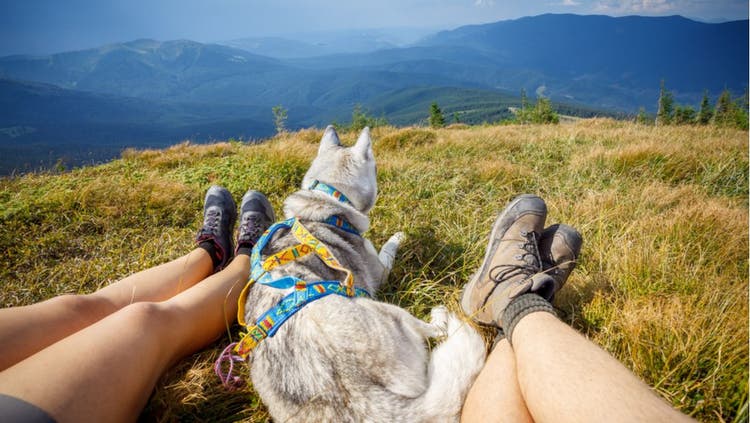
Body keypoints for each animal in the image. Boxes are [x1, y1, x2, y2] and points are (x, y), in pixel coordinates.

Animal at [242, 126, 488, 423]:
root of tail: (353, 395)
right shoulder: (380, 271)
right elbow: (388, 249)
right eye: (376, 166)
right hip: (391, 312)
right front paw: (398, 236)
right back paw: (440, 316)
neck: (329, 200)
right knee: (436, 331)